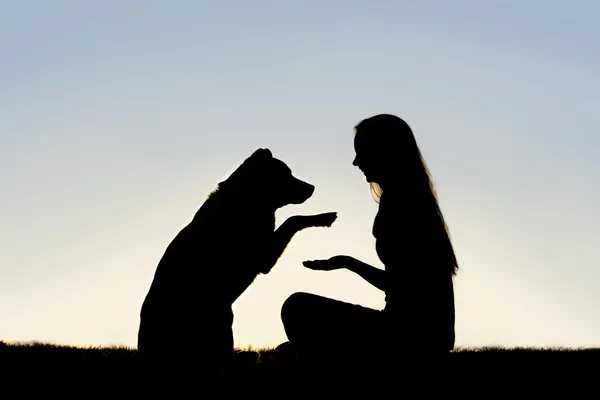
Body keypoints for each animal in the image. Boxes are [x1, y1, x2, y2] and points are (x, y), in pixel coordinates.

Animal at [136, 148, 336, 378]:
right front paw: (323, 217)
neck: (245, 201)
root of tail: (146, 358)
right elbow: (293, 219)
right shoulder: (263, 256)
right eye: (286, 174)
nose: (312, 187)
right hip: (220, 322)